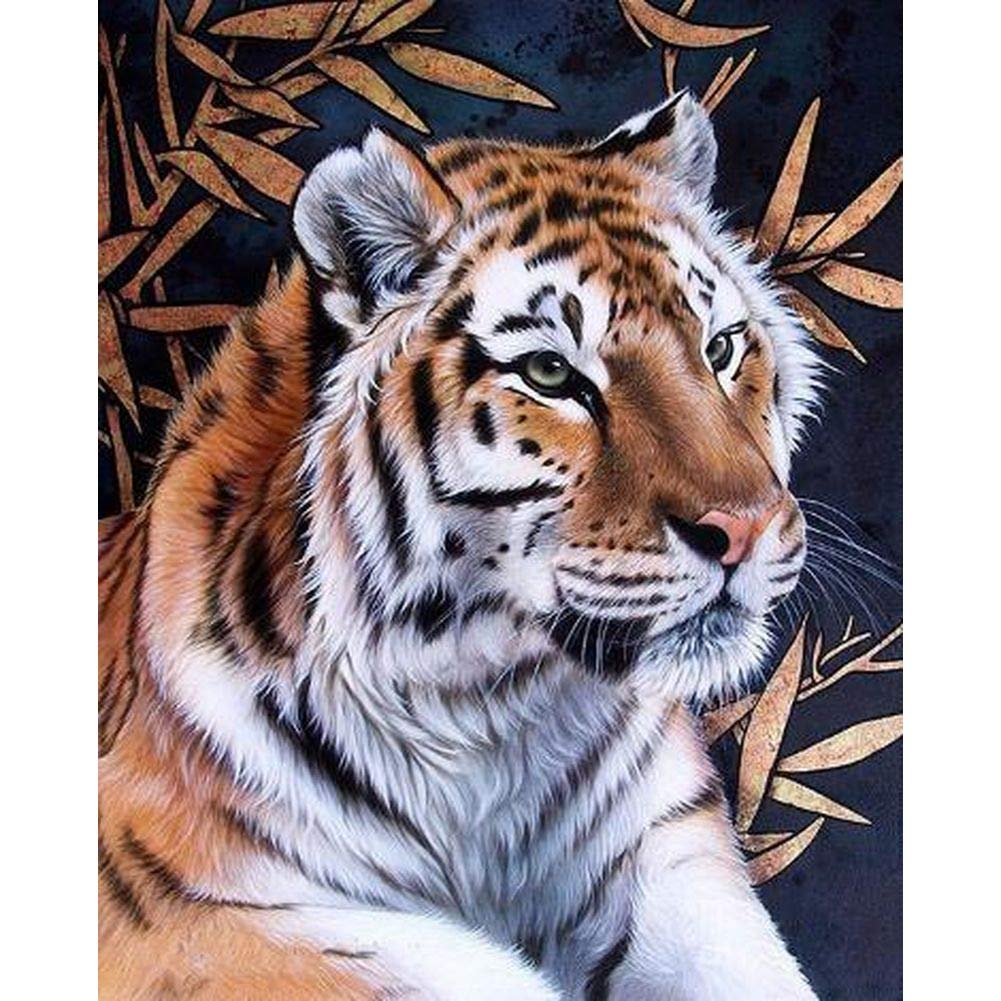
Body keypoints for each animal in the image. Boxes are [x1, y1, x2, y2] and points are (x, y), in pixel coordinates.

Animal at [98, 90, 822, 999]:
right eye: (549, 375)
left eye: (719, 348)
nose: (748, 526)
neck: (489, 712)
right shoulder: (191, 914)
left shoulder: (669, 852)